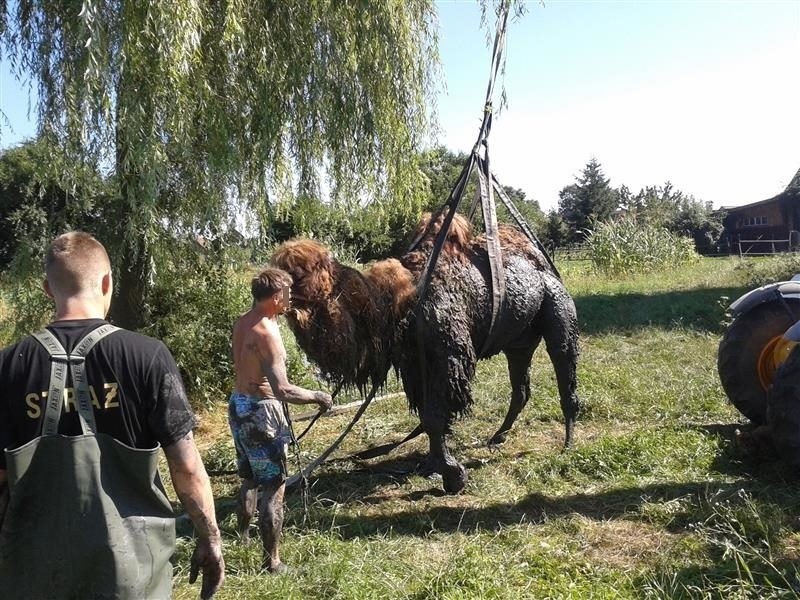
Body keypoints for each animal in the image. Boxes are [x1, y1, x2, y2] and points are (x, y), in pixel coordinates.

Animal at [270, 213, 580, 494]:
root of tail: (543, 266)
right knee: (521, 388)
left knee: (564, 369)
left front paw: (453, 476)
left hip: (557, 309)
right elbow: (427, 416)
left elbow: (433, 417)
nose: (275, 294)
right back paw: (498, 437)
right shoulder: (414, 365)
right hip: (518, 343)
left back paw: (567, 443)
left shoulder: (450, 357)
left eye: (298, 276)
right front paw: (433, 465)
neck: (398, 303)